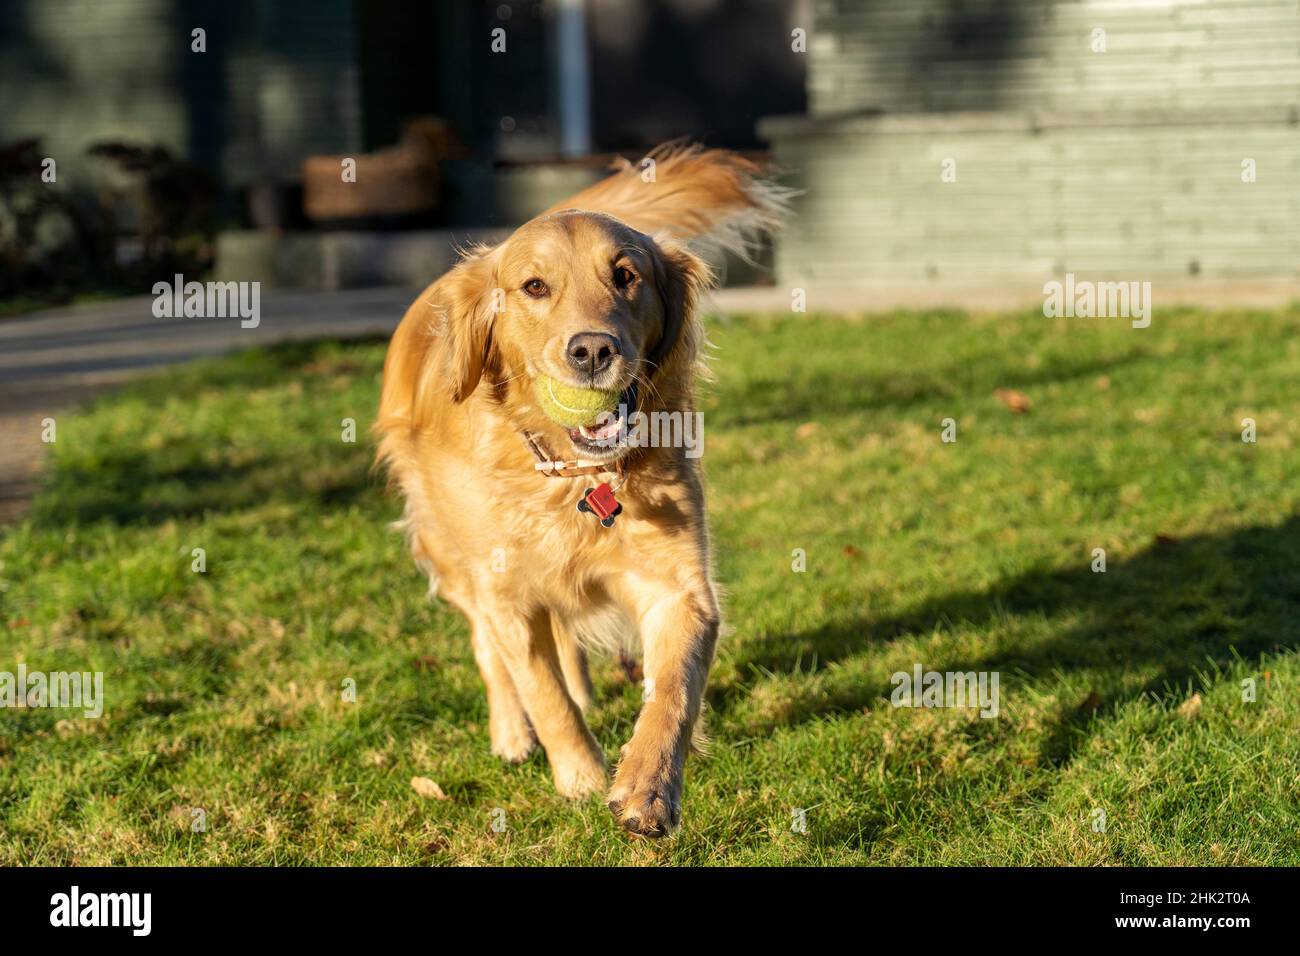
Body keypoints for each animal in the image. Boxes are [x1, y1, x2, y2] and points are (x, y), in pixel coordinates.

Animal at [374, 141, 780, 837]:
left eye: (625, 276)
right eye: (535, 287)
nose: (591, 350)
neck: (575, 478)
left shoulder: (679, 586)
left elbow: (673, 691)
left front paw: (646, 786)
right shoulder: (506, 593)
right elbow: (543, 692)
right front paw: (581, 778)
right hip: (451, 554)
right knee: (487, 645)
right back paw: (512, 733)